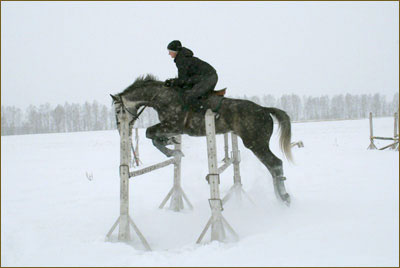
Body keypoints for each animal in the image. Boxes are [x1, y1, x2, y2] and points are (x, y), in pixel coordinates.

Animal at [111, 74, 292, 204]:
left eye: (118, 110)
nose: (121, 130)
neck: (162, 97)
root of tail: (264, 109)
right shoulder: (172, 128)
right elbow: (153, 135)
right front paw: (171, 145)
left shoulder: (174, 125)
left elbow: (149, 132)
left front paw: (171, 151)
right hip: (257, 144)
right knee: (273, 166)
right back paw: (280, 196)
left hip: (256, 144)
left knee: (275, 164)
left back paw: (284, 197)